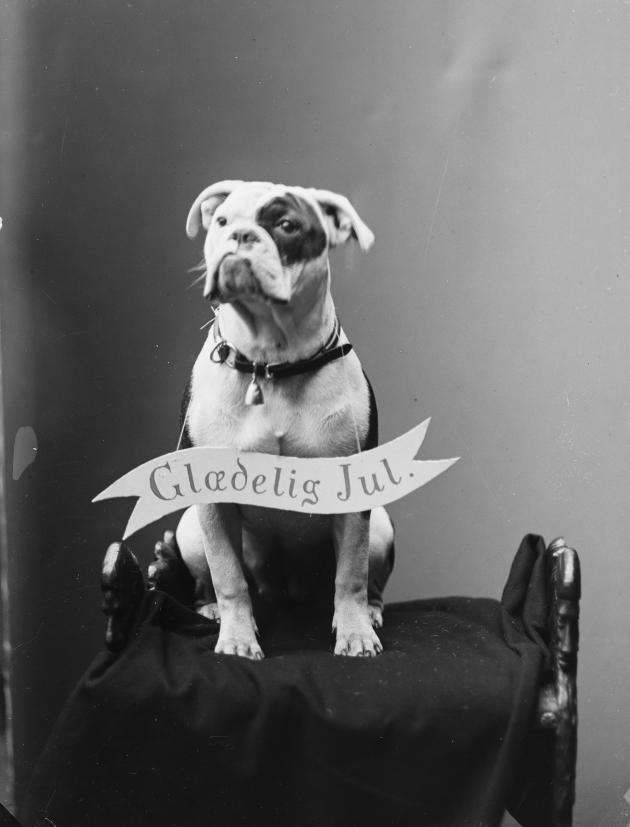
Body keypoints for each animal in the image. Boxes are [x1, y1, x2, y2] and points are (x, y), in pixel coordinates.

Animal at [175, 180, 396, 660]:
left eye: (287, 225)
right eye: (222, 221)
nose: (240, 235)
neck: (270, 362)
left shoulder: (353, 499)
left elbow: (350, 574)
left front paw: (354, 633)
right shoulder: (212, 504)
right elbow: (228, 577)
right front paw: (237, 639)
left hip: (381, 525)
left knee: (367, 581)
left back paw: (369, 613)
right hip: (188, 530)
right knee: (210, 581)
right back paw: (211, 610)